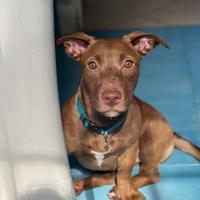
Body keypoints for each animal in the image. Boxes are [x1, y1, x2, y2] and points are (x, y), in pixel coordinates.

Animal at [56, 32, 200, 199]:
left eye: (128, 64)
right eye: (92, 65)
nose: (111, 97)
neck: (103, 127)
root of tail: (173, 134)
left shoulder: (129, 148)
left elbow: (124, 173)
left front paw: (126, 192)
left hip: (149, 137)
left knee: (150, 174)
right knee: (108, 176)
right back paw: (80, 185)